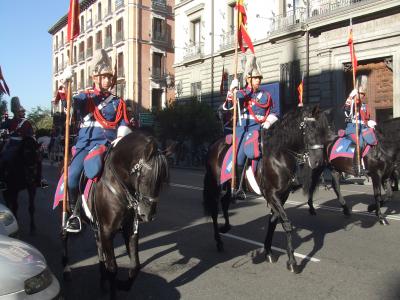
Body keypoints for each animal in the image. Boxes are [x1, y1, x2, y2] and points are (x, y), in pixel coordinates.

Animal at [61, 129, 169, 300]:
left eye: (163, 179)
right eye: (146, 178)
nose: (148, 215)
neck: (120, 186)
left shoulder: (129, 229)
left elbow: (135, 266)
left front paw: (121, 284)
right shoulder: (107, 230)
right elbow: (113, 268)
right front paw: (114, 287)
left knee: (99, 247)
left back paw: (102, 279)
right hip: (66, 211)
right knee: (64, 235)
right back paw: (66, 269)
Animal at [203, 106, 332, 274]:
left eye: (324, 130)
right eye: (310, 128)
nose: (318, 162)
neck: (280, 155)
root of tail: (214, 144)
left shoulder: (282, 195)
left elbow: (273, 221)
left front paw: (268, 252)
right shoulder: (271, 194)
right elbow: (286, 224)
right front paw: (292, 262)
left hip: (228, 186)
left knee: (225, 202)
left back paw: (226, 227)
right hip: (215, 186)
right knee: (214, 210)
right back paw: (218, 241)